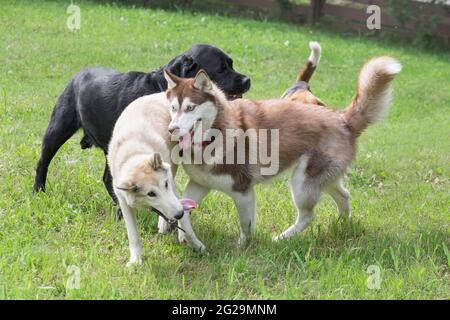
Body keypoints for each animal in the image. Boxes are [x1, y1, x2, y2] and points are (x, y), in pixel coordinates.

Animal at [33, 43, 251, 206]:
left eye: (231, 64)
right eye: (221, 69)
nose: (248, 79)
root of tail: (78, 74)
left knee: (108, 178)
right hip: (58, 128)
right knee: (43, 162)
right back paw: (38, 191)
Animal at [164, 55, 400, 250]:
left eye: (190, 108)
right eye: (173, 108)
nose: (171, 129)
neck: (216, 133)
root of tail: (343, 119)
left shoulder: (243, 191)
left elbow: (246, 225)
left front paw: (243, 247)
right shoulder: (201, 184)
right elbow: (183, 211)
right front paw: (187, 239)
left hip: (302, 184)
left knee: (307, 216)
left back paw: (281, 239)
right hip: (324, 179)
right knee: (344, 196)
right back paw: (341, 225)